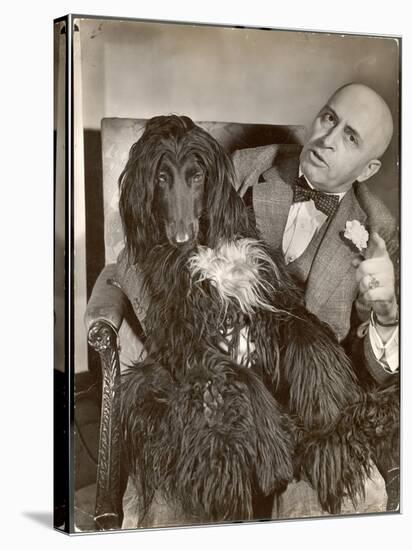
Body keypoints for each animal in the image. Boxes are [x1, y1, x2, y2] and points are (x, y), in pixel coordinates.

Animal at [116, 115, 400, 528]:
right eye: (161, 177)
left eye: (197, 174)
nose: (180, 237)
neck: (208, 247)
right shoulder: (185, 329)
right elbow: (239, 374)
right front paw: (274, 448)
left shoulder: (271, 294)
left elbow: (309, 339)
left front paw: (331, 429)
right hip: (150, 386)